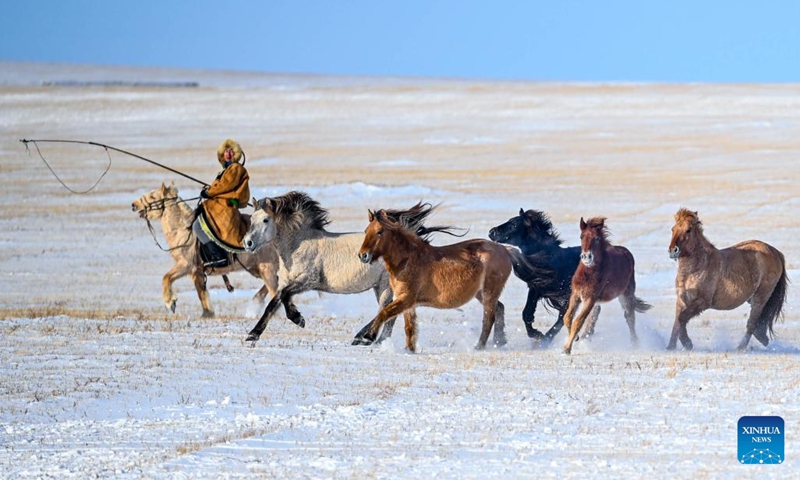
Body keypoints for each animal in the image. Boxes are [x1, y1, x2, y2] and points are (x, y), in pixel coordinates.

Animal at [133, 182, 280, 316]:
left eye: (152, 196)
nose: (134, 205)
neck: (184, 230)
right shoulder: (197, 272)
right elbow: (201, 294)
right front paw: (207, 314)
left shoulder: (186, 265)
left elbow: (166, 278)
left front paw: (171, 303)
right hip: (256, 268)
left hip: (266, 269)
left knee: (274, 288)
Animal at [352, 207, 520, 352]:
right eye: (366, 231)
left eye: (380, 232)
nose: (363, 255)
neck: (407, 260)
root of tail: (505, 249)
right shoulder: (407, 302)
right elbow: (409, 328)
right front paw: (410, 350)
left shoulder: (406, 298)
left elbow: (384, 313)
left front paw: (367, 337)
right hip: (481, 293)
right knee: (499, 309)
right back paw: (499, 341)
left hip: (489, 292)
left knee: (488, 318)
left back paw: (479, 346)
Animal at [488, 206, 600, 344]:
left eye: (513, 224)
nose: (491, 232)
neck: (552, 261)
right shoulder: (536, 288)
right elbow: (527, 313)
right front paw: (537, 334)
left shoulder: (568, 295)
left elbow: (563, 317)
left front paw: (545, 339)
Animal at [560, 219, 652, 354]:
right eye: (581, 236)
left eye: (597, 238)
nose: (586, 256)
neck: (588, 273)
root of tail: (626, 253)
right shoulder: (576, 294)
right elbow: (568, 317)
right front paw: (575, 338)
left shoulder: (590, 298)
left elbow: (578, 321)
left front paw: (566, 349)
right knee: (593, 319)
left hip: (626, 294)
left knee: (629, 317)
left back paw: (635, 344)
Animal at [664, 208, 788, 350]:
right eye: (673, 229)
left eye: (688, 230)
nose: (673, 250)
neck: (696, 268)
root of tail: (775, 252)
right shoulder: (681, 300)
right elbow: (678, 322)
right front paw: (670, 347)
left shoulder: (703, 301)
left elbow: (682, 318)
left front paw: (687, 343)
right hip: (753, 299)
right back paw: (762, 339)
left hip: (761, 296)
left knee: (752, 323)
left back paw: (740, 348)